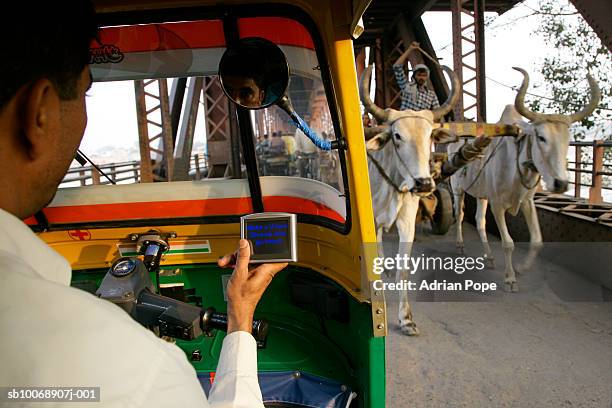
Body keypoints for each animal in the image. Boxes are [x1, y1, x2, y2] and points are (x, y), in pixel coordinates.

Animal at [358, 63, 460, 334]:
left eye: (430, 136)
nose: (424, 183)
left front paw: (406, 319)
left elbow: (403, 270)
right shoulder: (370, 221)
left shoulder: (407, 222)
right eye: (397, 136)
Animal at [450, 66, 604, 290]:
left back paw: (489, 256)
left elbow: (537, 240)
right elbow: (508, 243)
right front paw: (510, 277)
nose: (560, 183)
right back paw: (460, 244)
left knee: (479, 221)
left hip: (481, 194)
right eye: (541, 137)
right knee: (460, 214)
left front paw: (522, 268)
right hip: (457, 189)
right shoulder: (497, 204)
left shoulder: (527, 201)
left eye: (568, 140)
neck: (517, 165)